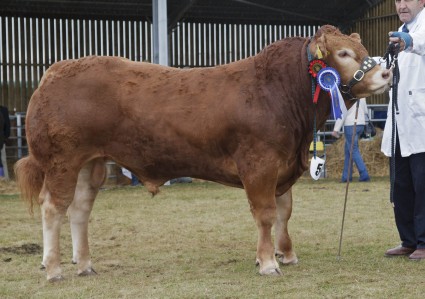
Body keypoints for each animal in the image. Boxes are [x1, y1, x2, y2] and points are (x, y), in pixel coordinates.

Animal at [14, 25, 390, 282]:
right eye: (343, 54)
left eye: (362, 47)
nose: (386, 72)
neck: (279, 92)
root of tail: (55, 71)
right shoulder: (260, 165)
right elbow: (266, 214)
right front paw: (268, 263)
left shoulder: (283, 167)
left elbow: (284, 212)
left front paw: (286, 254)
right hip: (62, 161)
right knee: (53, 209)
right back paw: (54, 268)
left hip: (90, 164)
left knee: (79, 210)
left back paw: (86, 265)